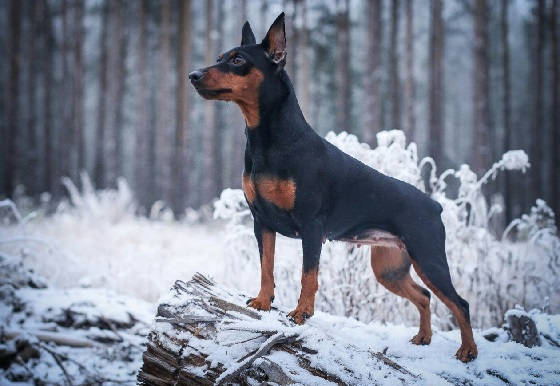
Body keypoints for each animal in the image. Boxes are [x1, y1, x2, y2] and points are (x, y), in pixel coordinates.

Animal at [189, 12, 476, 362]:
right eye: (220, 57)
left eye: (238, 59)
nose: (193, 75)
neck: (269, 140)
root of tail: (435, 206)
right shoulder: (262, 222)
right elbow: (266, 267)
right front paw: (262, 302)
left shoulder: (312, 226)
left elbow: (308, 275)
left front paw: (301, 313)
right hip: (390, 268)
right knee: (423, 296)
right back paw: (423, 337)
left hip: (427, 255)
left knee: (460, 303)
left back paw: (468, 349)